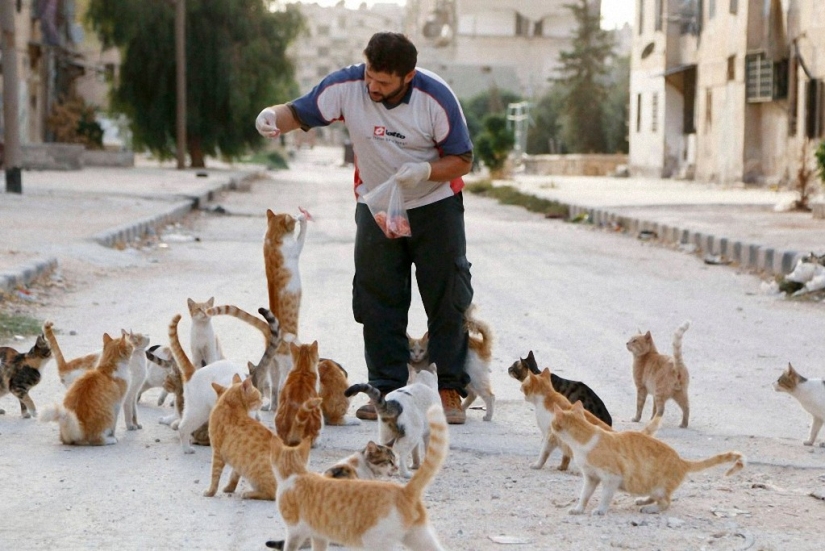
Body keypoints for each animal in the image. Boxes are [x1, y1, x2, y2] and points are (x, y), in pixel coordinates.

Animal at [552, 398, 744, 516]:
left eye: (553, 422)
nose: (551, 427)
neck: (584, 438)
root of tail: (682, 461)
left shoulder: (612, 478)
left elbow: (606, 496)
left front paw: (601, 510)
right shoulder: (591, 477)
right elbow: (584, 495)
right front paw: (578, 509)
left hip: (659, 488)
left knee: (666, 503)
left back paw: (650, 509)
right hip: (650, 486)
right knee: (657, 498)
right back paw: (643, 501)